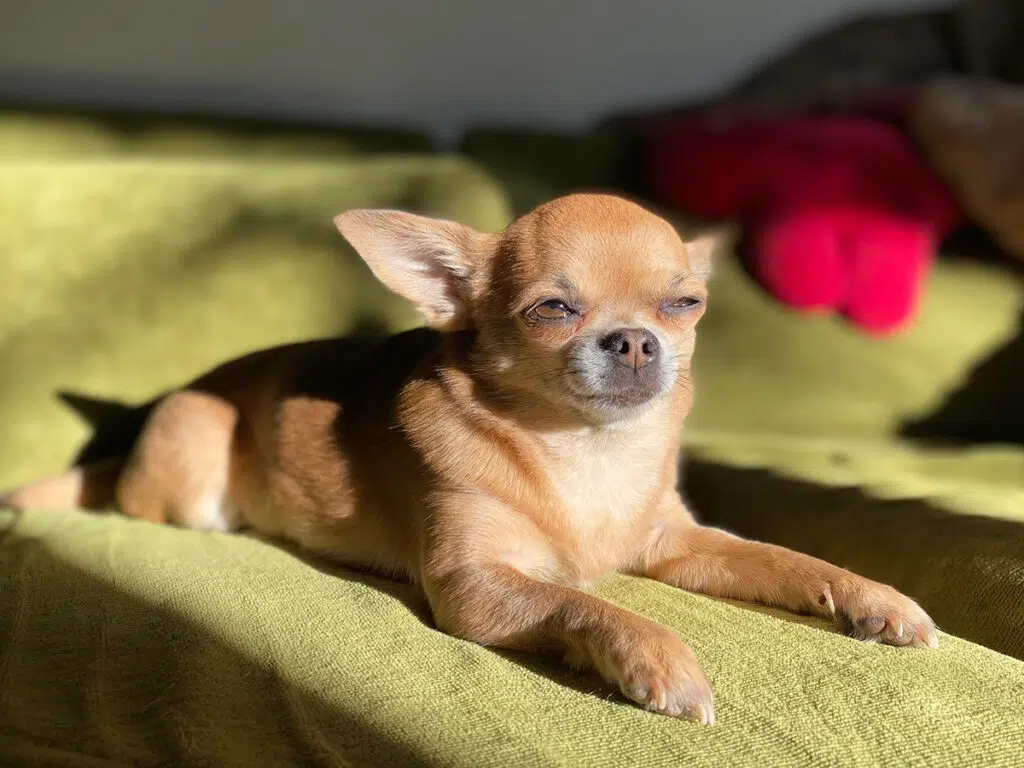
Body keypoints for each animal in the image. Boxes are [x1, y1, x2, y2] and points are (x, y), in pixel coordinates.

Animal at [4, 195, 937, 724]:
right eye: (551, 309)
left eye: (685, 304)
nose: (637, 340)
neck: (582, 449)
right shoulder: (476, 586)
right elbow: (588, 604)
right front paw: (659, 660)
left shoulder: (678, 547)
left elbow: (785, 558)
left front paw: (874, 600)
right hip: (195, 454)